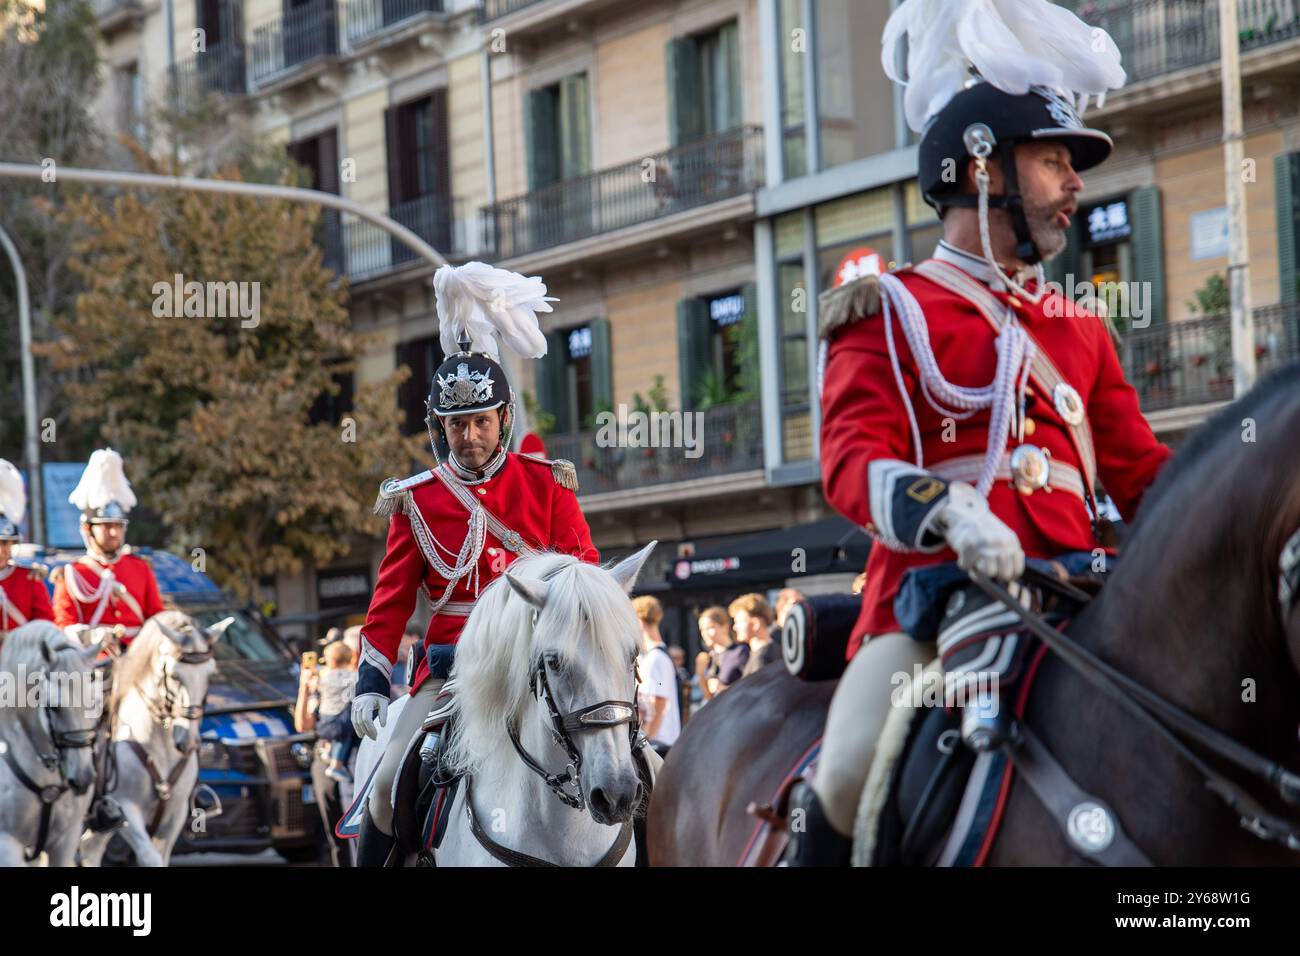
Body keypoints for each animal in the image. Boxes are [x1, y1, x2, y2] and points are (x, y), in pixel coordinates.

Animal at [78, 613, 227, 868]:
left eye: (210, 674)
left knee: (89, 849)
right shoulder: (125, 807)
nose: (188, 743)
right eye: (175, 675)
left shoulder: (174, 815)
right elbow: (150, 858)